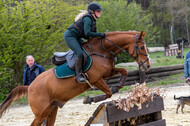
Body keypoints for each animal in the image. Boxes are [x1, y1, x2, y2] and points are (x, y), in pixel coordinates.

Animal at [0, 30, 151, 125]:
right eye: (142, 47)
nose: (147, 65)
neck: (102, 50)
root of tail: (29, 87)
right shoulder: (97, 79)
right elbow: (108, 93)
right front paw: (89, 99)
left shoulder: (108, 73)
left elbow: (124, 72)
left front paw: (117, 85)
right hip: (41, 113)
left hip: (52, 110)